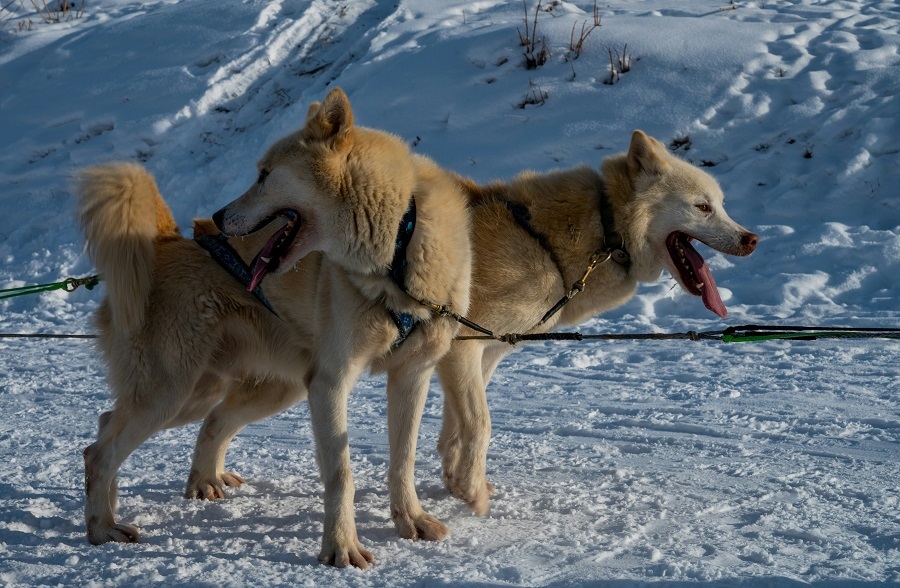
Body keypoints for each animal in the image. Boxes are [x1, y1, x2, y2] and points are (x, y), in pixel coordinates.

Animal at [77, 85, 472, 568]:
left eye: (265, 175)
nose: (219, 215)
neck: (399, 247)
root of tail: (167, 241)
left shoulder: (411, 375)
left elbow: (403, 462)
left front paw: (410, 520)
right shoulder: (330, 383)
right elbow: (342, 474)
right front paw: (341, 546)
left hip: (239, 391)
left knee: (169, 422)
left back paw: (195, 483)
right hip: (172, 393)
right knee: (100, 451)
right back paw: (102, 526)